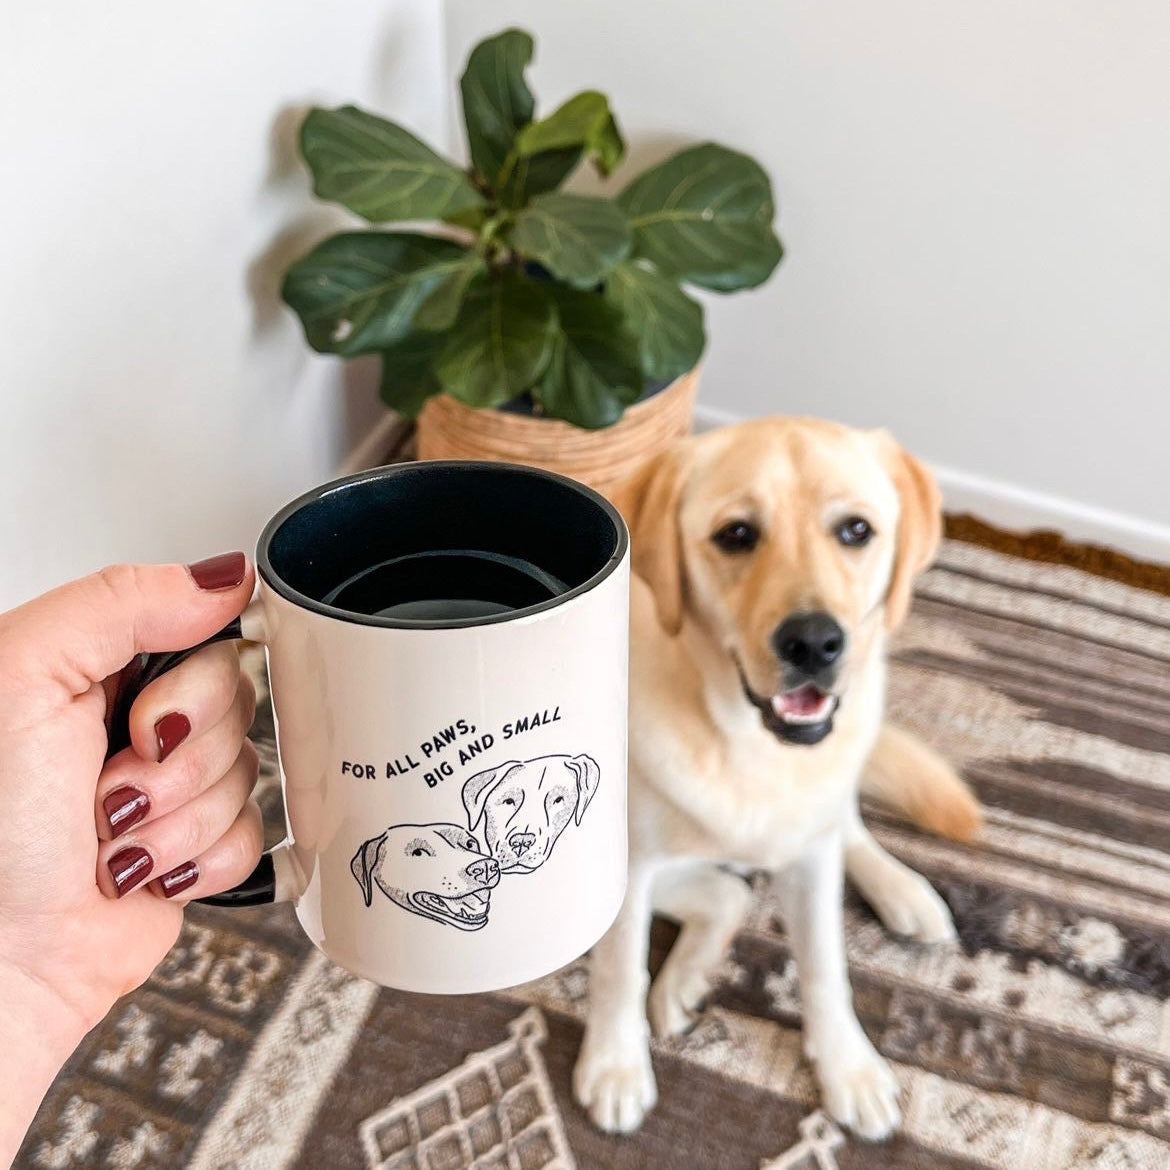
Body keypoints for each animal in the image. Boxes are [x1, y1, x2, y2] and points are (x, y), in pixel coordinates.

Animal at [570, 418, 982, 1141]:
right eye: (736, 534)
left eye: (855, 530)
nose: (814, 643)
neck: (741, 737)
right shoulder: (627, 866)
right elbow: (619, 969)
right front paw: (616, 1066)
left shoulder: (811, 859)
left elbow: (824, 966)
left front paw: (848, 1066)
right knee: (725, 895)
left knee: (833, 831)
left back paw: (902, 890)